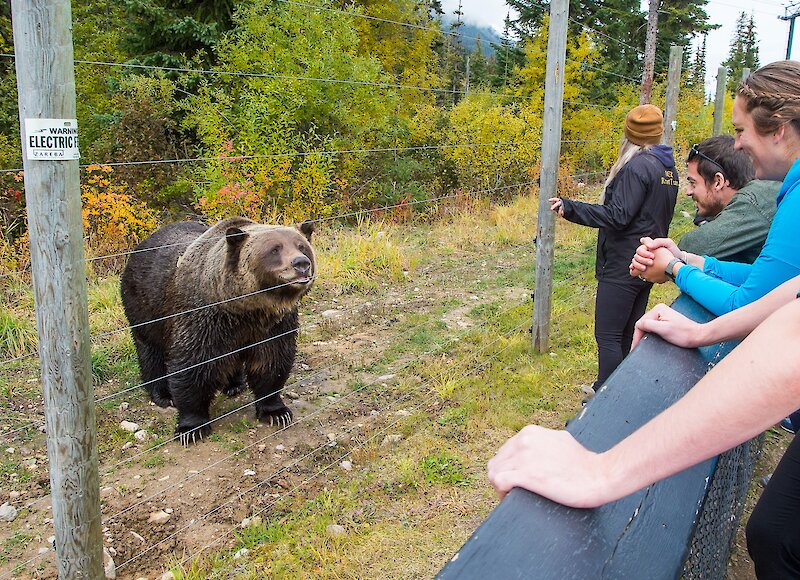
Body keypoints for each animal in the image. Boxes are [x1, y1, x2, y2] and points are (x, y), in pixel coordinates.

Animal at [122, 218, 316, 444]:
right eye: (275, 249)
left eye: (302, 246)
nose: (301, 263)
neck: (244, 309)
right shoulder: (203, 320)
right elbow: (193, 368)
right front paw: (191, 427)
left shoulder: (272, 325)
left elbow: (271, 361)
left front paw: (276, 412)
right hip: (145, 307)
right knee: (150, 351)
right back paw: (163, 395)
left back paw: (235, 384)